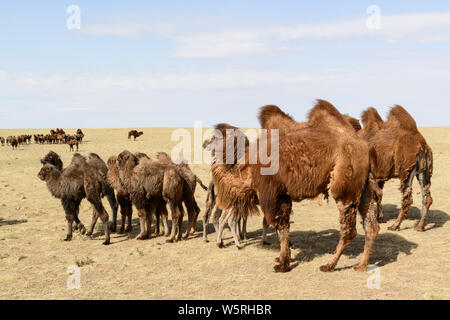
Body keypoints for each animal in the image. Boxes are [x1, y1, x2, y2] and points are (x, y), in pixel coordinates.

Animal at [207, 100, 380, 272]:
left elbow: (281, 227)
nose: (206, 145)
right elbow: (282, 228)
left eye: (215, 138)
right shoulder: (283, 195)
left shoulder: (273, 194)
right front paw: (283, 258)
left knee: (349, 229)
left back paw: (329, 265)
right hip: (364, 187)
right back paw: (361, 265)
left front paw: (283, 264)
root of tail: (365, 148)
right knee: (371, 226)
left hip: (345, 185)